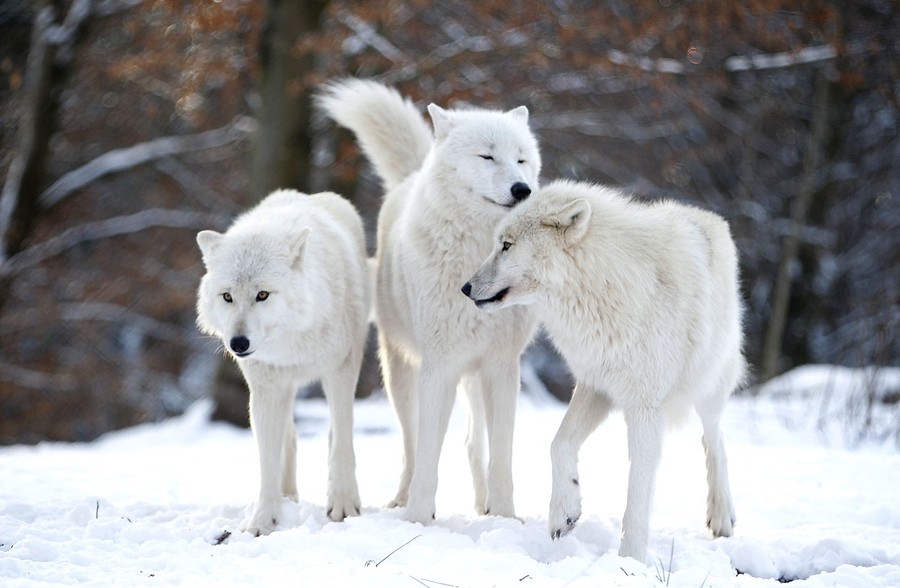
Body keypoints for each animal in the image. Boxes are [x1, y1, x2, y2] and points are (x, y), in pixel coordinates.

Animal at [194, 191, 370, 536]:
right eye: (227, 297)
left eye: (262, 294)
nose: (238, 344)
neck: (291, 344)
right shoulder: (265, 389)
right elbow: (267, 462)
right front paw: (263, 522)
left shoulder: (340, 371)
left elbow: (343, 442)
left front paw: (344, 505)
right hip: (283, 391)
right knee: (290, 439)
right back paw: (288, 497)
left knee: (333, 434)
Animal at [318, 79, 540, 524]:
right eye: (487, 156)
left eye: (522, 160)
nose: (522, 190)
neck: (476, 260)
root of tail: (412, 174)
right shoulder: (440, 366)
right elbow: (427, 454)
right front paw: (419, 519)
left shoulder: (502, 368)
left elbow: (502, 457)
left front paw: (506, 518)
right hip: (401, 373)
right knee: (410, 443)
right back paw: (402, 500)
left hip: (473, 378)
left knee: (473, 443)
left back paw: (483, 506)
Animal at [464, 180, 744, 564]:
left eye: (506, 245)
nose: (465, 288)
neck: (601, 285)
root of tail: (710, 217)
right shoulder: (596, 386)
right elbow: (559, 443)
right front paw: (564, 512)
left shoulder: (644, 407)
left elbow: (638, 488)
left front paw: (631, 559)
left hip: (709, 383)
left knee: (714, 439)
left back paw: (721, 515)